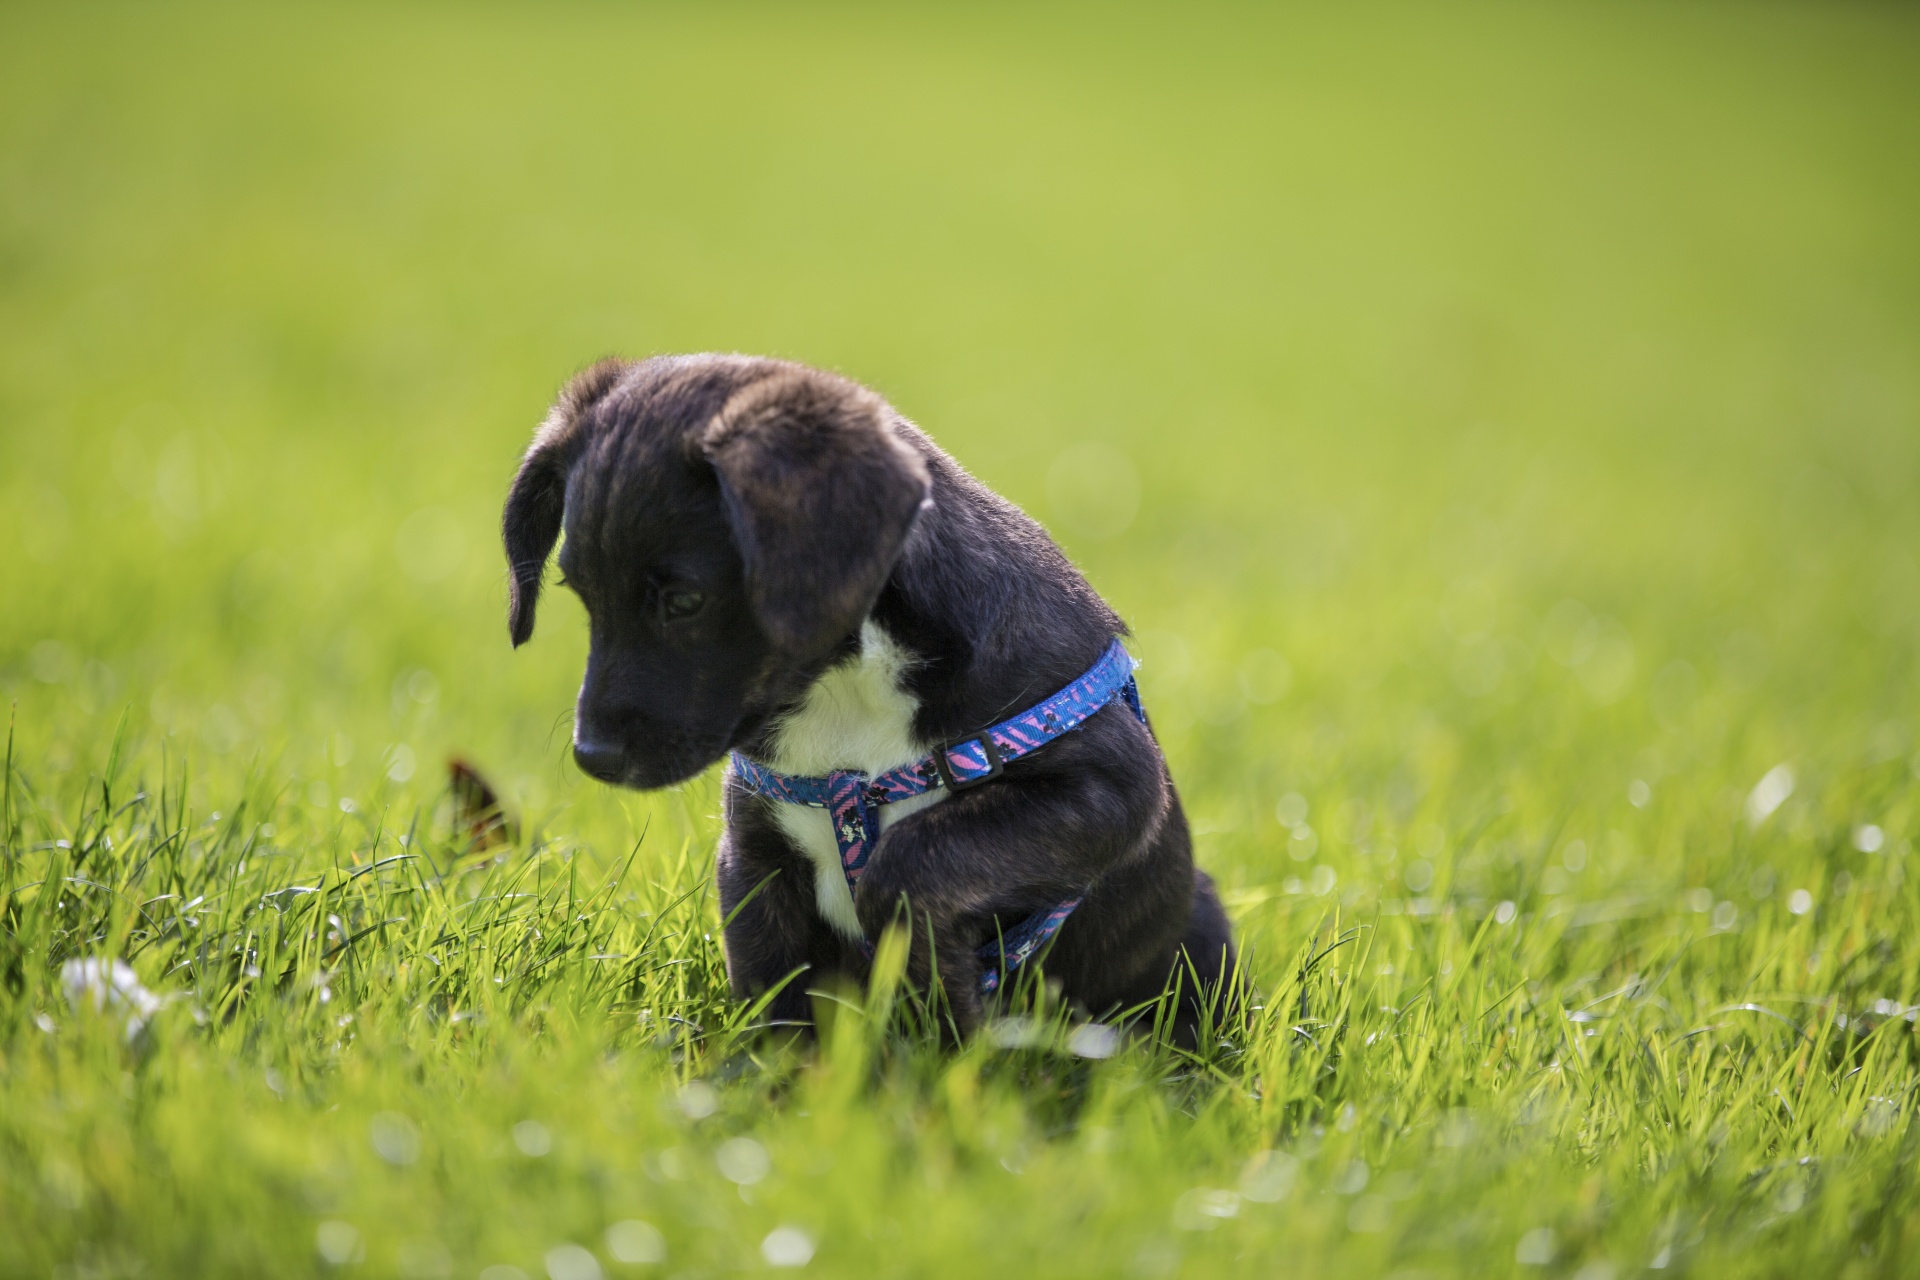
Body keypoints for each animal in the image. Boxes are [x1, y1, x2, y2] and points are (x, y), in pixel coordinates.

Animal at [503, 353, 1236, 1043]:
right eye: (579, 594)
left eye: (685, 601)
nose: (593, 756)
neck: (848, 681)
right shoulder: (755, 854)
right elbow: (775, 996)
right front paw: (775, 1081)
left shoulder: (1110, 784)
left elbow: (910, 867)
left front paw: (950, 1046)